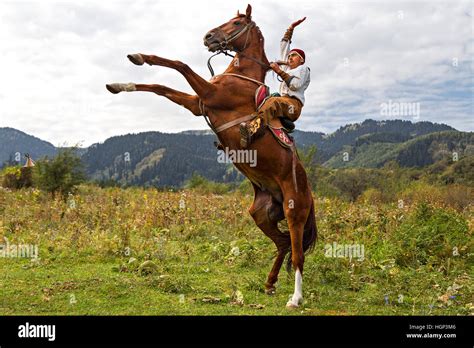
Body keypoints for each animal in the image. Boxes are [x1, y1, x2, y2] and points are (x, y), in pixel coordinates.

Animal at [105, 3, 316, 308]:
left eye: (237, 22)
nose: (208, 37)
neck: (242, 76)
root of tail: (308, 191)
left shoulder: (209, 93)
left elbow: (180, 64)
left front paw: (138, 60)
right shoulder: (197, 103)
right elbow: (160, 87)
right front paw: (123, 79)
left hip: (293, 210)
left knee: (298, 253)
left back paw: (295, 298)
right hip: (262, 214)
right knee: (283, 242)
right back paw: (269, 283)